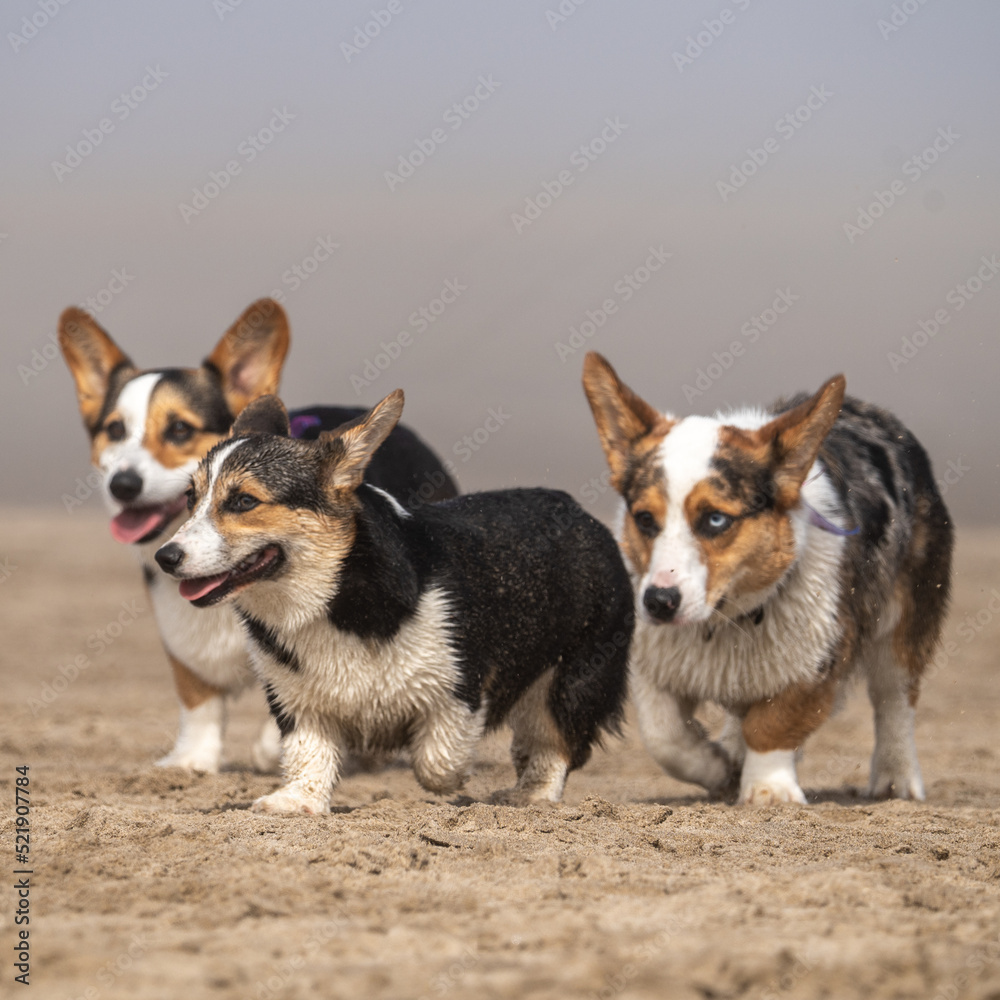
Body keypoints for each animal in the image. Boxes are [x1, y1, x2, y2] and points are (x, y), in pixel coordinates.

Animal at [58, 302, 458, 772]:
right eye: (115, 430)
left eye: (179, 430)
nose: (122, 485)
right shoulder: (183, 639)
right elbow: (197, 698)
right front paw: (192, 760)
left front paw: (277, 751)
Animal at [151, 388, 628, 812]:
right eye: (191, 498)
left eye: (244, 501)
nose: (165, 557)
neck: (334, 596)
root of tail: (579, 512)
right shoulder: (296, 699)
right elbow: (308, 752)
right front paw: (296, 802)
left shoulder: (459, 683)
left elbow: (436, 762)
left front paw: (455, 775)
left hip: (574, 676)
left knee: (554, 740)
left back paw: (531, 794)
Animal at [584, 352, 952, 804]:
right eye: (644, 519)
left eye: (716, 519)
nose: (658, 602)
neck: (728, 618)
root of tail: (877, 413)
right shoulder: (655, 669)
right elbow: (665, 737)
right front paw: (718, 768)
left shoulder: (817, 662)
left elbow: (773, 724)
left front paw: (768, 790)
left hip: (903, 622)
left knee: (894, 699)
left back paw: (896, 779)